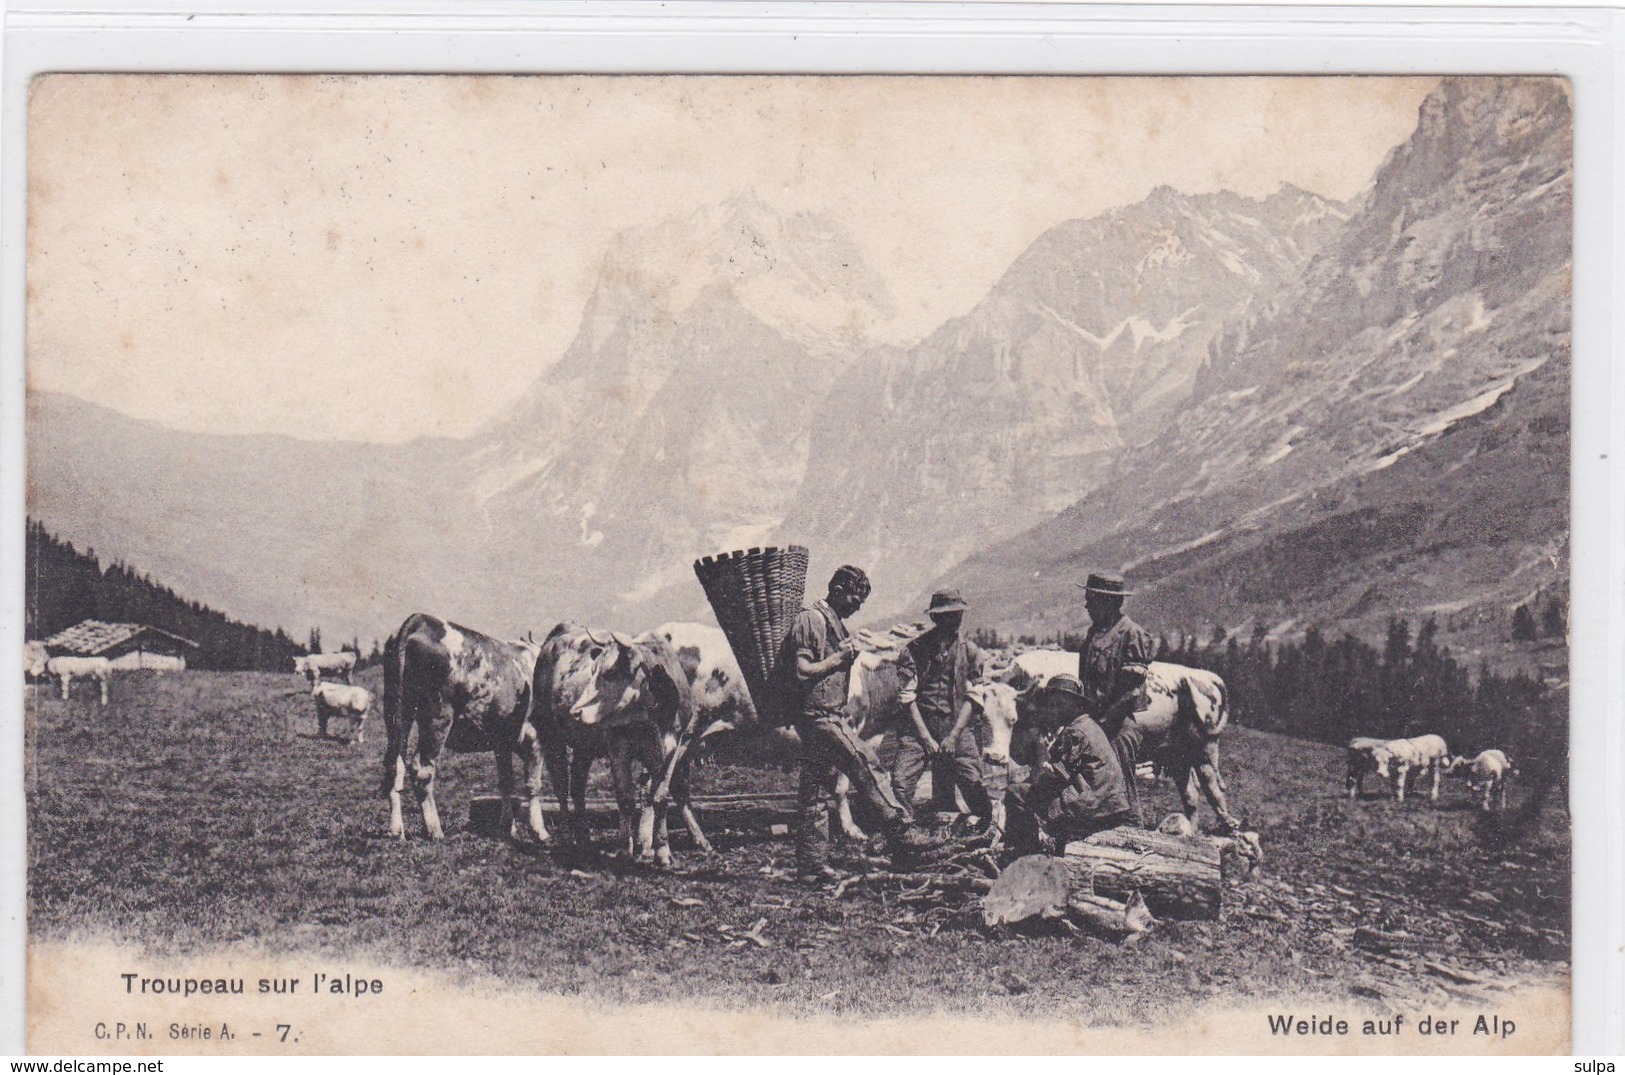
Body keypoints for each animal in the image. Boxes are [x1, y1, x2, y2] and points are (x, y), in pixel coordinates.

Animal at [378, 613, 539, 844]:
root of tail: (419, 620)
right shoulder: (534, 736)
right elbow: (533, 782)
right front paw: (539, 831)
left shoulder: (502, 744)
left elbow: (507, 781)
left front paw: (506, 828)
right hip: (437, 714)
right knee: (422, 768)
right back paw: (434, 830)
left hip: (396, 710)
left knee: (394, 764)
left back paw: (395, 829)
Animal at [523, 623, 695, 870]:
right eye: (593, 670)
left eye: (610, 673)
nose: (575, 712)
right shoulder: (617, 745)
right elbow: (625, 798)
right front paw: (624, 849)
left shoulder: (673, 747)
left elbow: (659, 797)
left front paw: (662, 852)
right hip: (551, 736)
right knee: (561, 786)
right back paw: (565, 838)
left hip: (584, 746)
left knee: (577, 787)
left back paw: (584, 837)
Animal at [994, 652, 1235, 837]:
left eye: (1012, 715)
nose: (993, 755)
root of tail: (1207, 676)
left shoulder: (1047, 741)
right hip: (1176, 754)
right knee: (1190, 793)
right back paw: (1190, 832)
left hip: (1205, 745)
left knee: (1210, 785)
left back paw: (1228, 826)